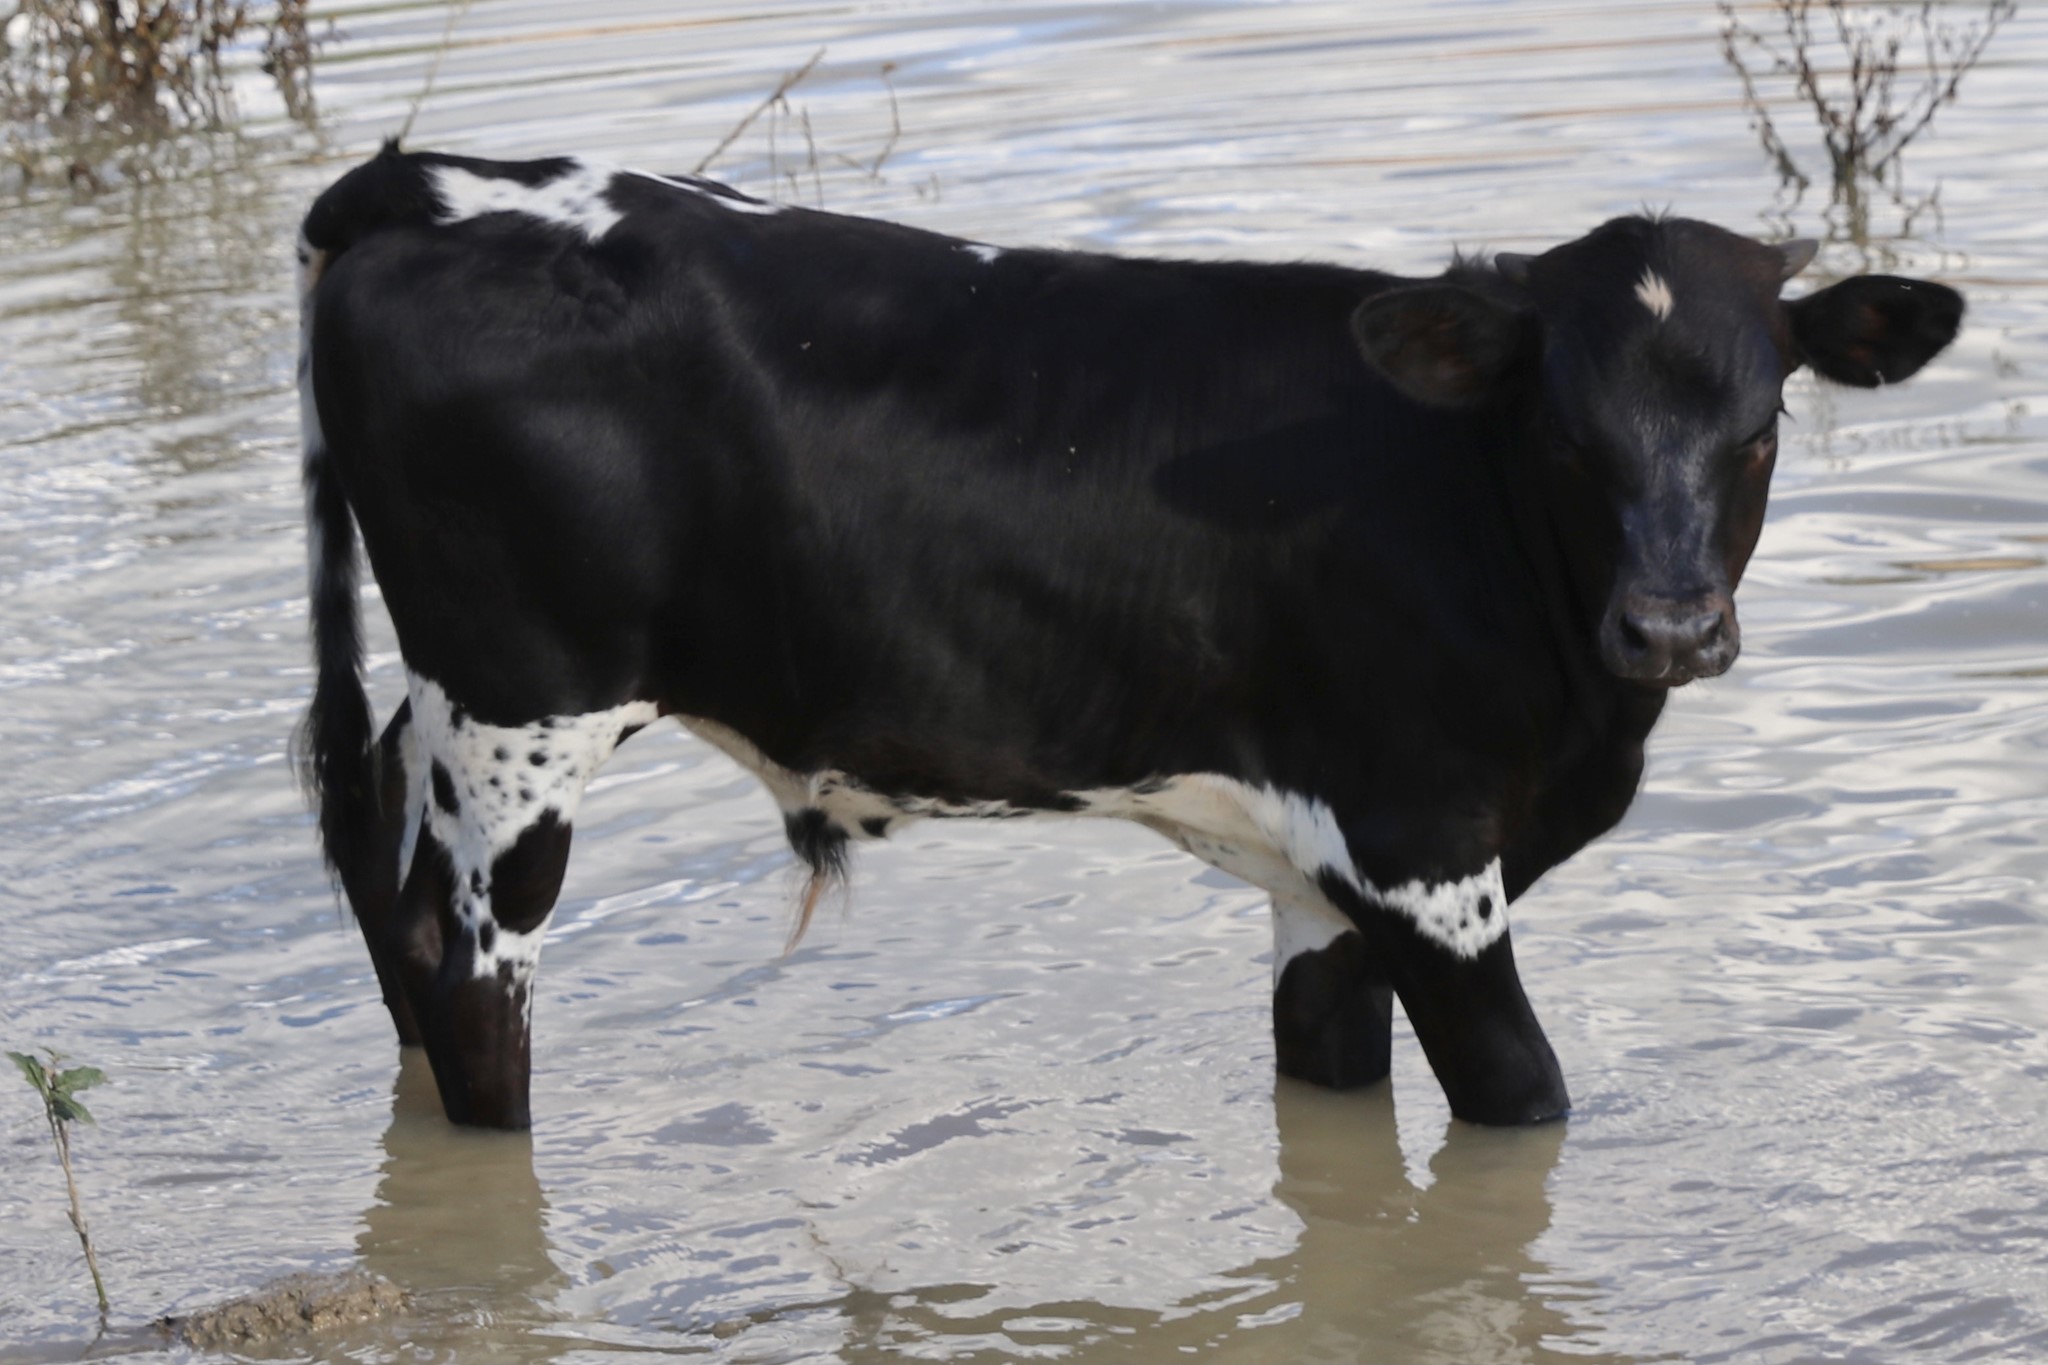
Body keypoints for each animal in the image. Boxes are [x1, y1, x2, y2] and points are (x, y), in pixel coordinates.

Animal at [295, 142, 1962, 1131]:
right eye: (1566, 435)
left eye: (1759, 428)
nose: (1672, 624)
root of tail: (428, 179)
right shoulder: (1426, 854)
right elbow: (1524, 1100)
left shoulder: (1322, 880)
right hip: (524, 713)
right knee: (469, 971)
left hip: (447, 712)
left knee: (381, 859)